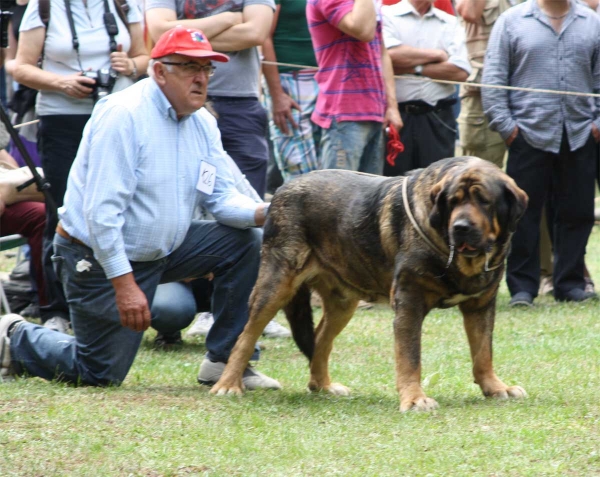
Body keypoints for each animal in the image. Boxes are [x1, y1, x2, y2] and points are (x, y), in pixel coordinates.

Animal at [211, 156, 528, 410]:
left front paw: (496, 388)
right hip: (276, 284)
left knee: (321, 339)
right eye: (453, 202)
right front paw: (414, 399)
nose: (460, 227)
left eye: (484, 201)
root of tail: (280, 191)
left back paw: (323, 385)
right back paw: (228, 384)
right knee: (245, 336)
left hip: (342, 301)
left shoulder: (480, 305)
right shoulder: (409, 303)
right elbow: (410, 357)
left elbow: (483, 352)